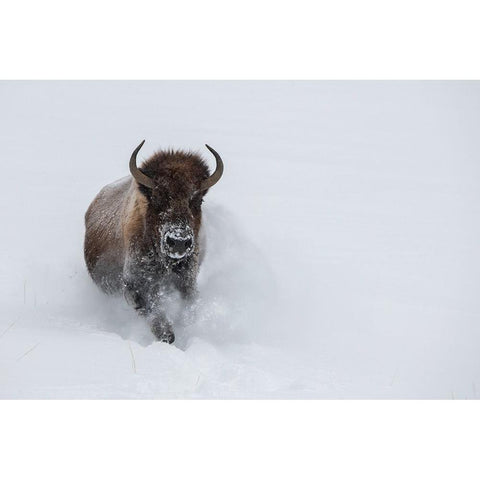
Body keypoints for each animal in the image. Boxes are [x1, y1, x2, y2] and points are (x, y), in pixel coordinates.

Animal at [84, 141, 223, 344]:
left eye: (198, 200)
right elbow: (156, 316)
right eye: (158, 197)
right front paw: (168, 337)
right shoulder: (136, 285)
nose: (178, 242)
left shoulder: (187, 280)